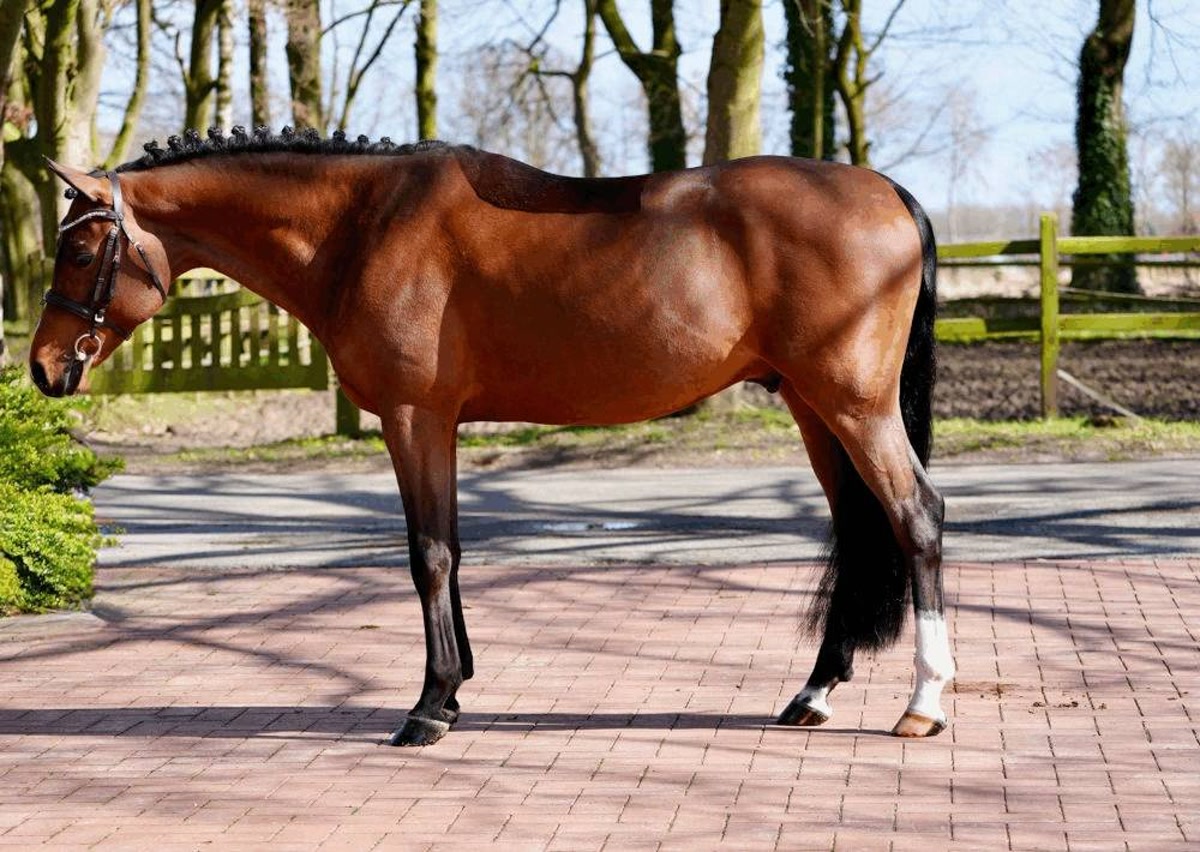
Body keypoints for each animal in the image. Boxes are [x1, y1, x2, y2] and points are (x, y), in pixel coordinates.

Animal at [30, 127, 952, 747]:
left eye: (80, 249)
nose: (42, 367)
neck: (360, 226)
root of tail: (890, 194)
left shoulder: (412, 418)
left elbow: (428, 554)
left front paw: (427, 707)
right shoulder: (438, 425)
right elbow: (453, 547)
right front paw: (455, 690)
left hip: (854, 407)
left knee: (916, 518)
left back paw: (924, 703)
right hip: (813, 408)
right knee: (858, 526)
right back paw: (815, 693)